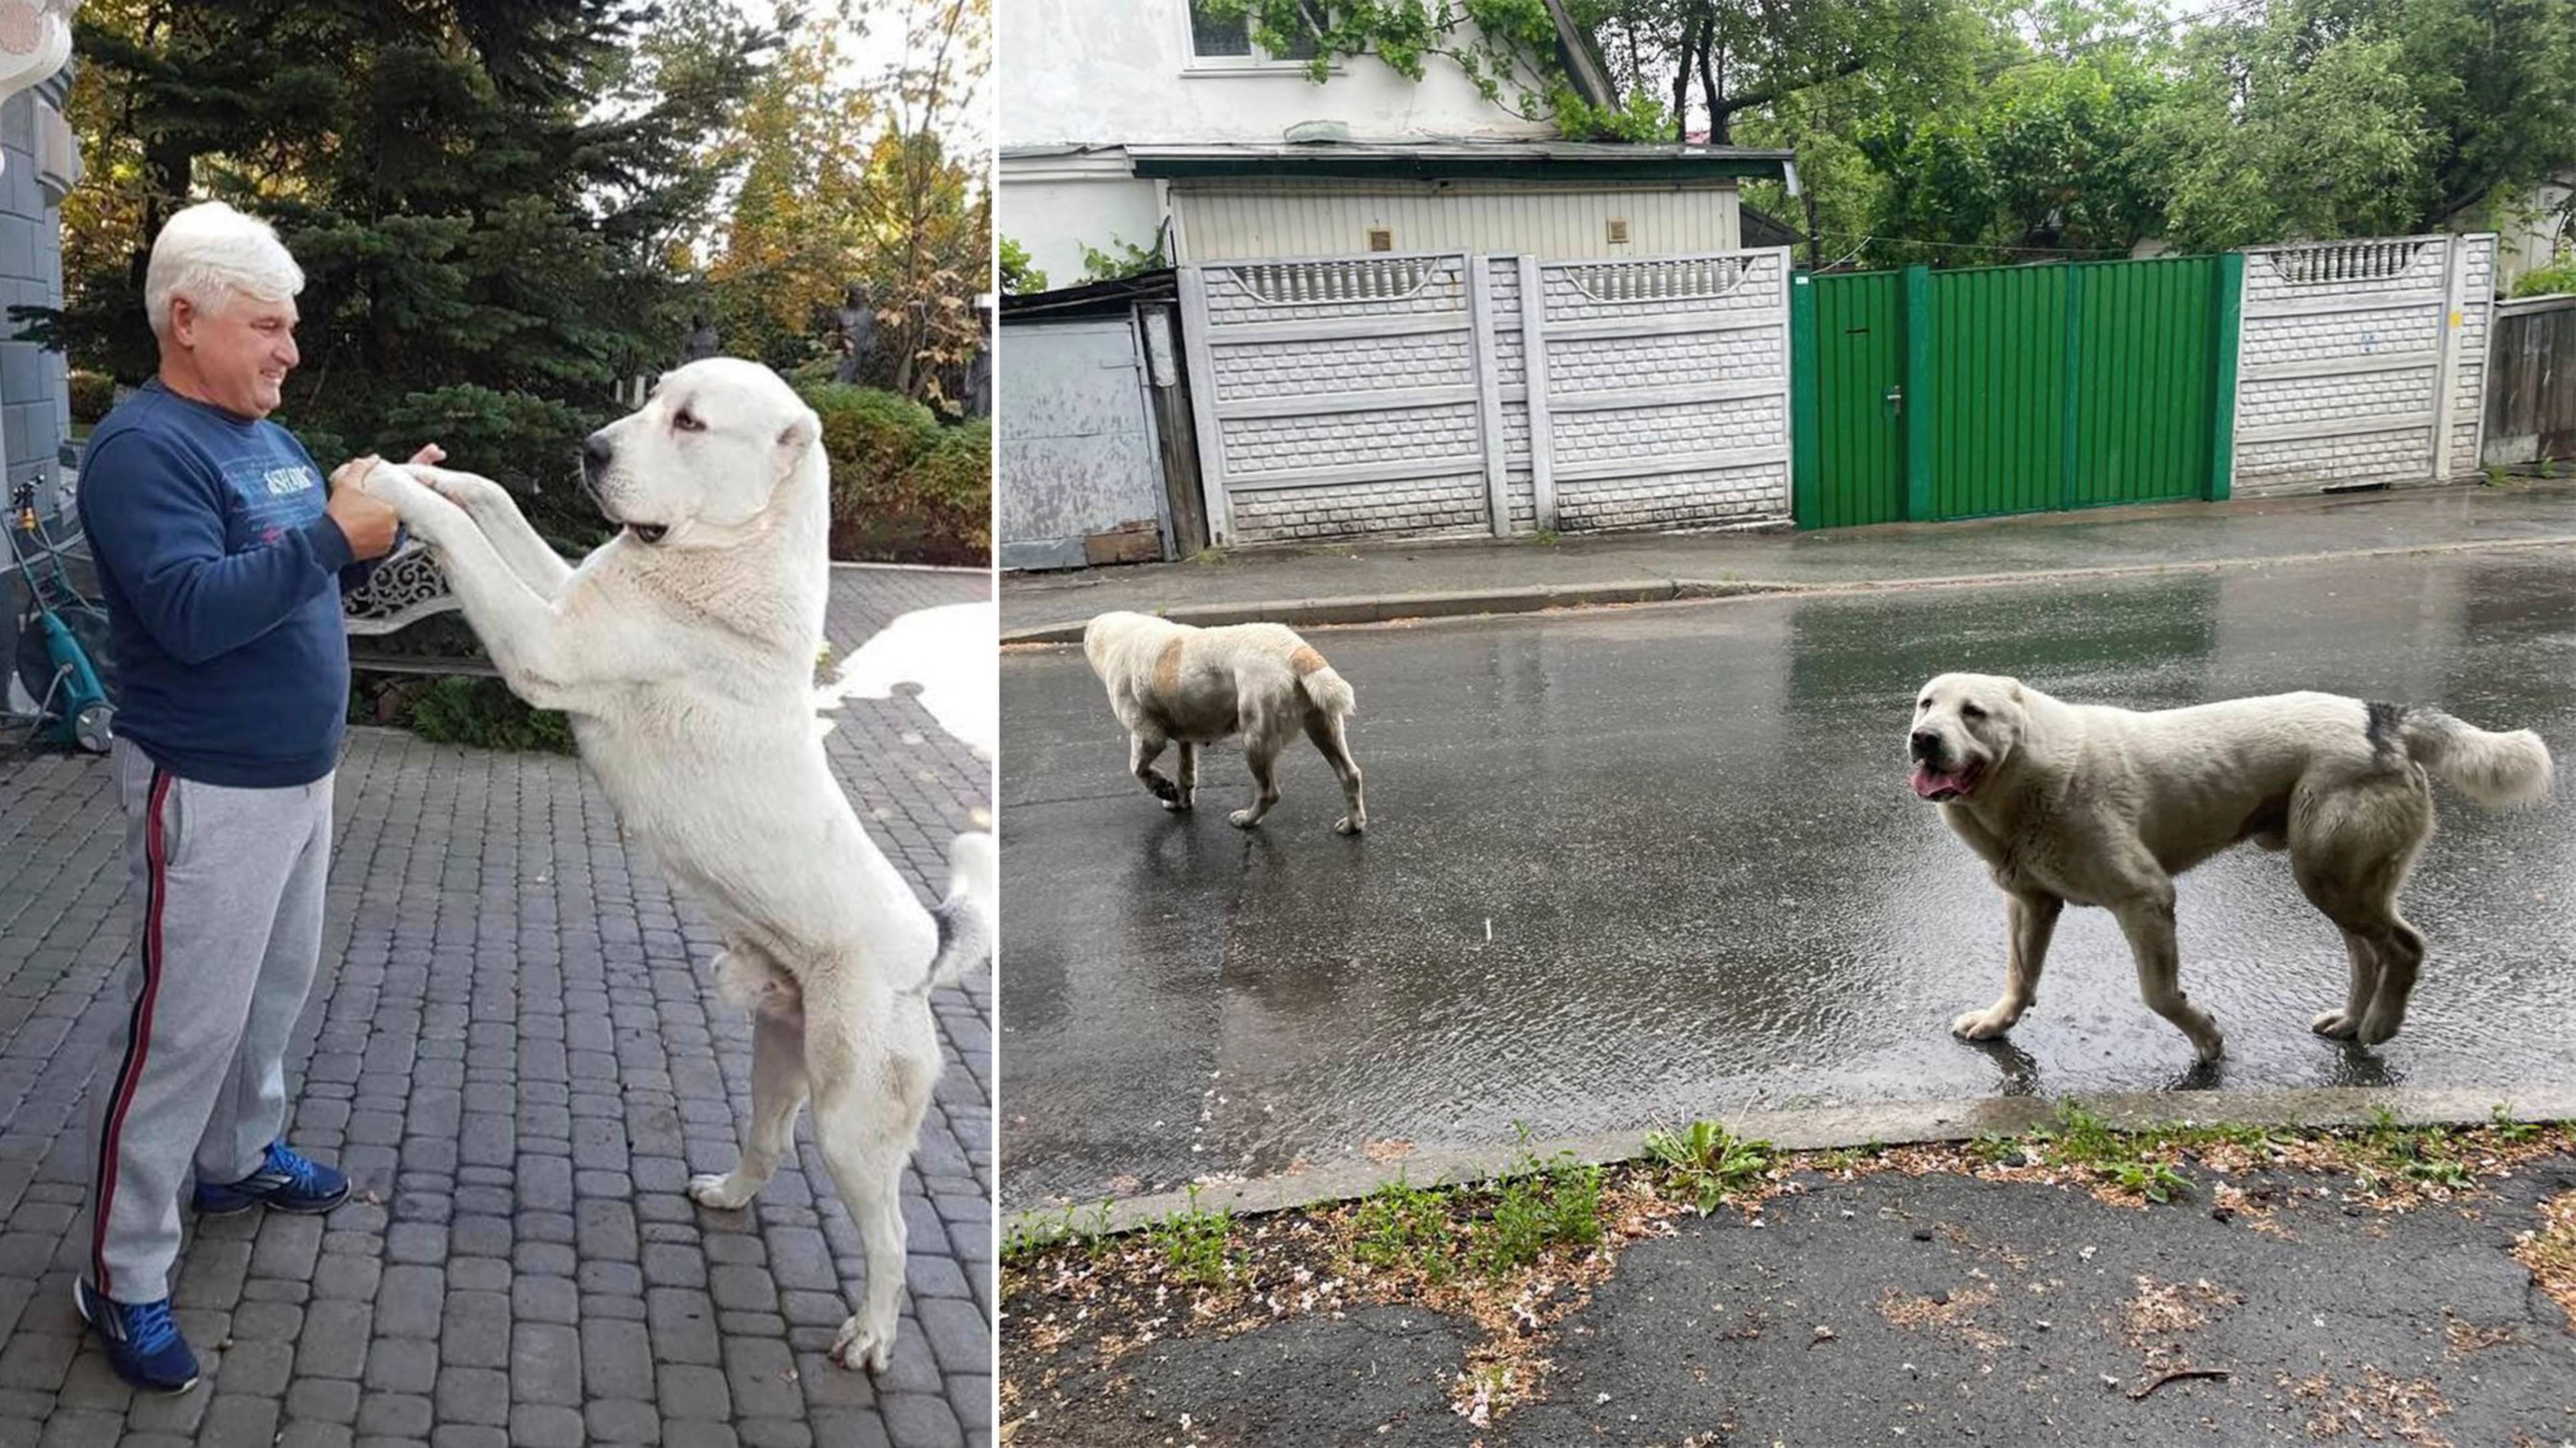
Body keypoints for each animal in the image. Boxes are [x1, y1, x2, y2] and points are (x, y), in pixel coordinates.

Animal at [334, 358, 994, 1360]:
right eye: (650, 399)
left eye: (688, 422)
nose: (589, 449)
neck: (721, 551)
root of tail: (926, 943)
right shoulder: (563, 589)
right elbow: (495, 511)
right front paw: (439, 470)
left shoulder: (545, 642)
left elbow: (470, 544)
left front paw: (393, 487)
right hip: (778, 1056)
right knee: (768, 1144)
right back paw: (724, 1196)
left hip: (853, 1121)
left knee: (891, 1230)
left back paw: (871, 1334)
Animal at [1082, 610, 1370, 835]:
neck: (1116, 635)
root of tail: (1294, 650)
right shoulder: (1186, 738)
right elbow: (1186, 773)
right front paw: (1179, 801)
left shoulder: (1147, 734)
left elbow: (1138, 767)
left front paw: (1161, 787)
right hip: (1323, 725)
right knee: (1350, 774)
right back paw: (1353, 824)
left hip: (1255, 736)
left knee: (1269, 791)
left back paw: (1247, 820)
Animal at [1906, 669, 2545, 1061]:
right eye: (1925, 704)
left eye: (1973, 712)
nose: (1923, 739)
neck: (2022, 775)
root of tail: (2379, 717)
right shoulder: (2031, 903)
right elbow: (2020, 976)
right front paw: (1996, 1023)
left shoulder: (2146, 898)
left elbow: (2159, 993)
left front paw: (2208, 1038)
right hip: (2336, 882)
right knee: (2368, 954)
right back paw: (2350, 1021)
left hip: (2334, 879)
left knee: (2406, 946)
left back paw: (2382, 1023)